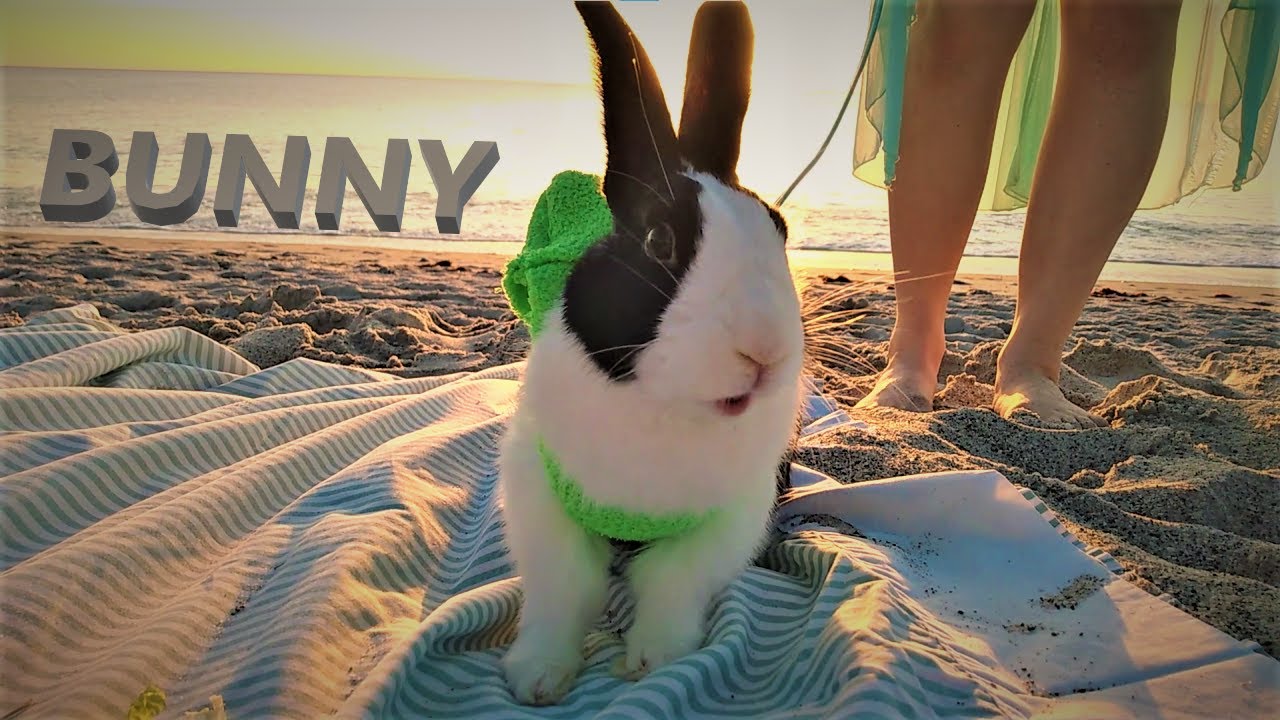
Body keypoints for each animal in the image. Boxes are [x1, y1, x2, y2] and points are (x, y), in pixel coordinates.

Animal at [498, 0, 805, 706]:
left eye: (779, 229)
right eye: (659, 241)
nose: (766, 351)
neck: (667, 410)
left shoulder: (727, 521)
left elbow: (669, 581)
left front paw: (652, 658)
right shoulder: (542, 499)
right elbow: (563, 589)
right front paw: (538, 677)